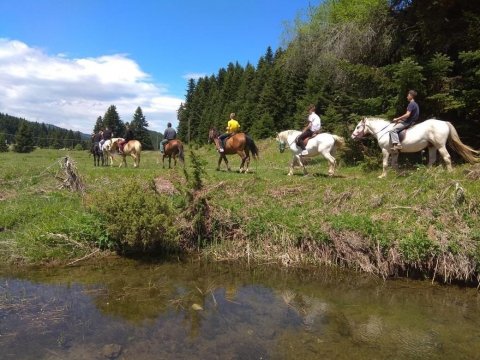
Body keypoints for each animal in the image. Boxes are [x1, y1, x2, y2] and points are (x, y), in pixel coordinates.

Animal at [350, 117, 478, 178]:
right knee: (432, 160)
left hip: (440, 145)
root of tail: (444, 122)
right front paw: (399, 174)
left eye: (358, 127)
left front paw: (382, 176)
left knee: (447, 157)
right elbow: (394, 164)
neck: (384, 131)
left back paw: (450, 172)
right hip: (432, 146)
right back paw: (427, 172)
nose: (352, 136)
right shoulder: (395, 152)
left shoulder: (385, 150)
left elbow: (385, 164)